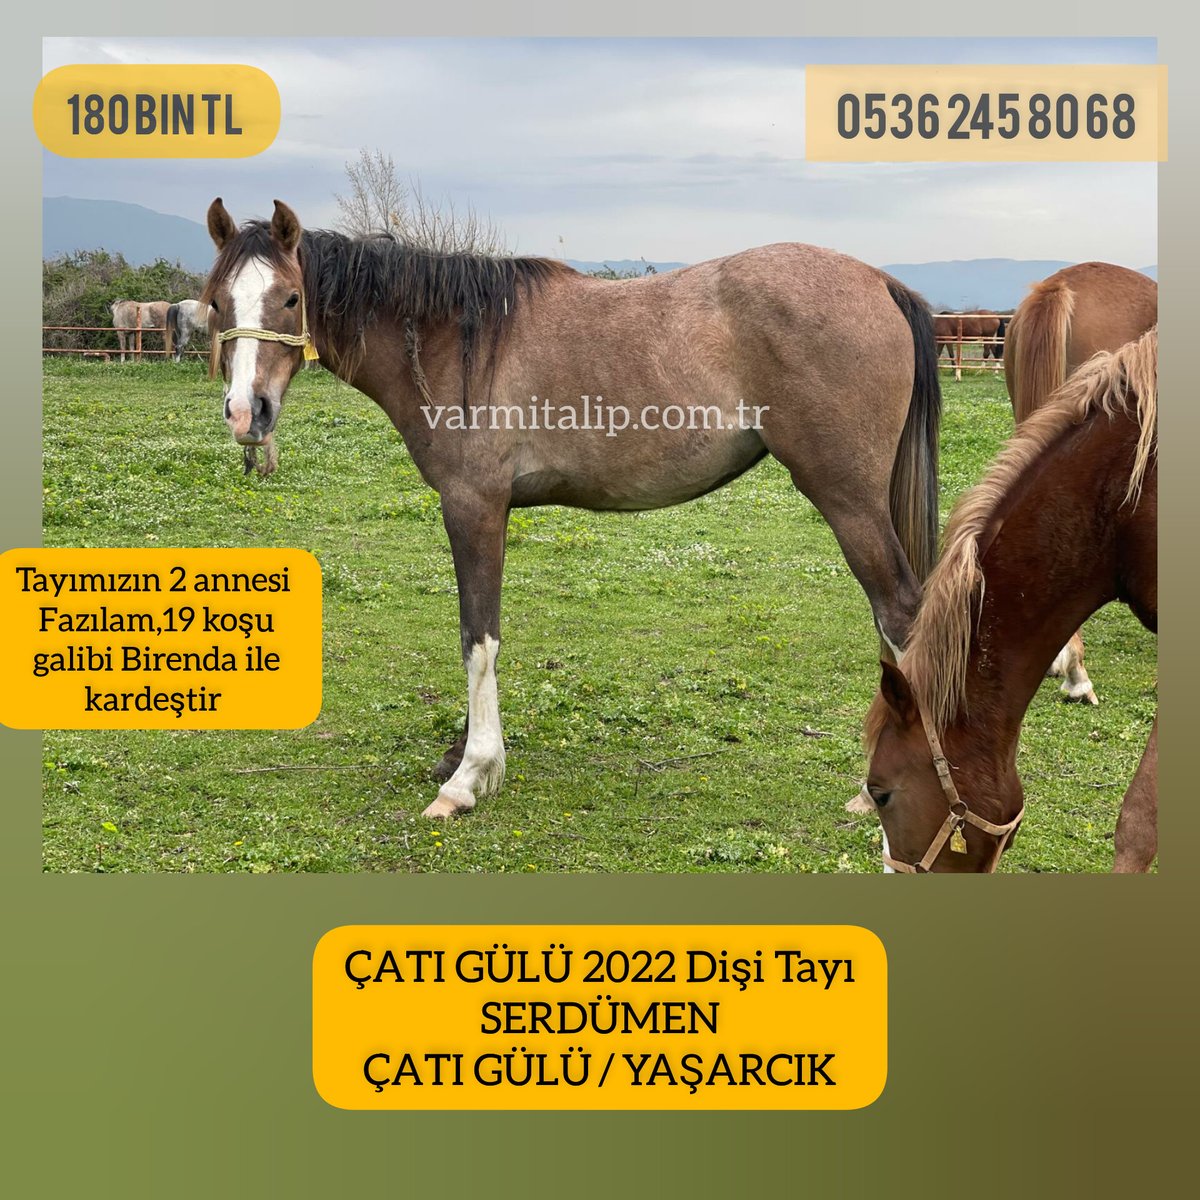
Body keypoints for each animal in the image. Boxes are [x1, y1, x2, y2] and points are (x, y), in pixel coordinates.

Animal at [203, 197, 942, 819]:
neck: (451, 340)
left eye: (291, 297)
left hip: (847, 498)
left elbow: (477, 637)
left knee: (901, 614)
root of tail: (879, 281)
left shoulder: (472, 507)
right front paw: (462, 753)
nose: (246, 413)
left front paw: (468, 777)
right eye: (216, 302)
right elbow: (482, 634)